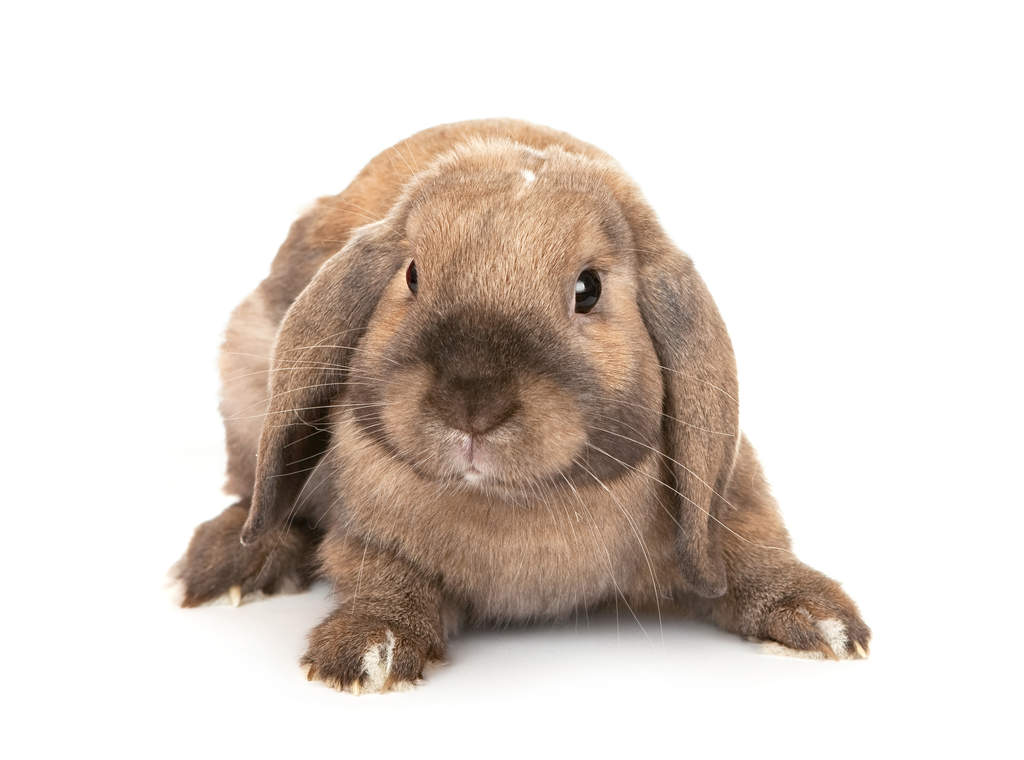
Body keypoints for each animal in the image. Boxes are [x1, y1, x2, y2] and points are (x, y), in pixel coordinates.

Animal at [172, 118, 870, 693]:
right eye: (412, 275)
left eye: (588, 289)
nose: (471, 406)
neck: (518, 506)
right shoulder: (369, 535)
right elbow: (382, 575)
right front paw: (366, 648)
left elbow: (750, 546)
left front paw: (823, 621)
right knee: (256, 498)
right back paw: (227, 564)